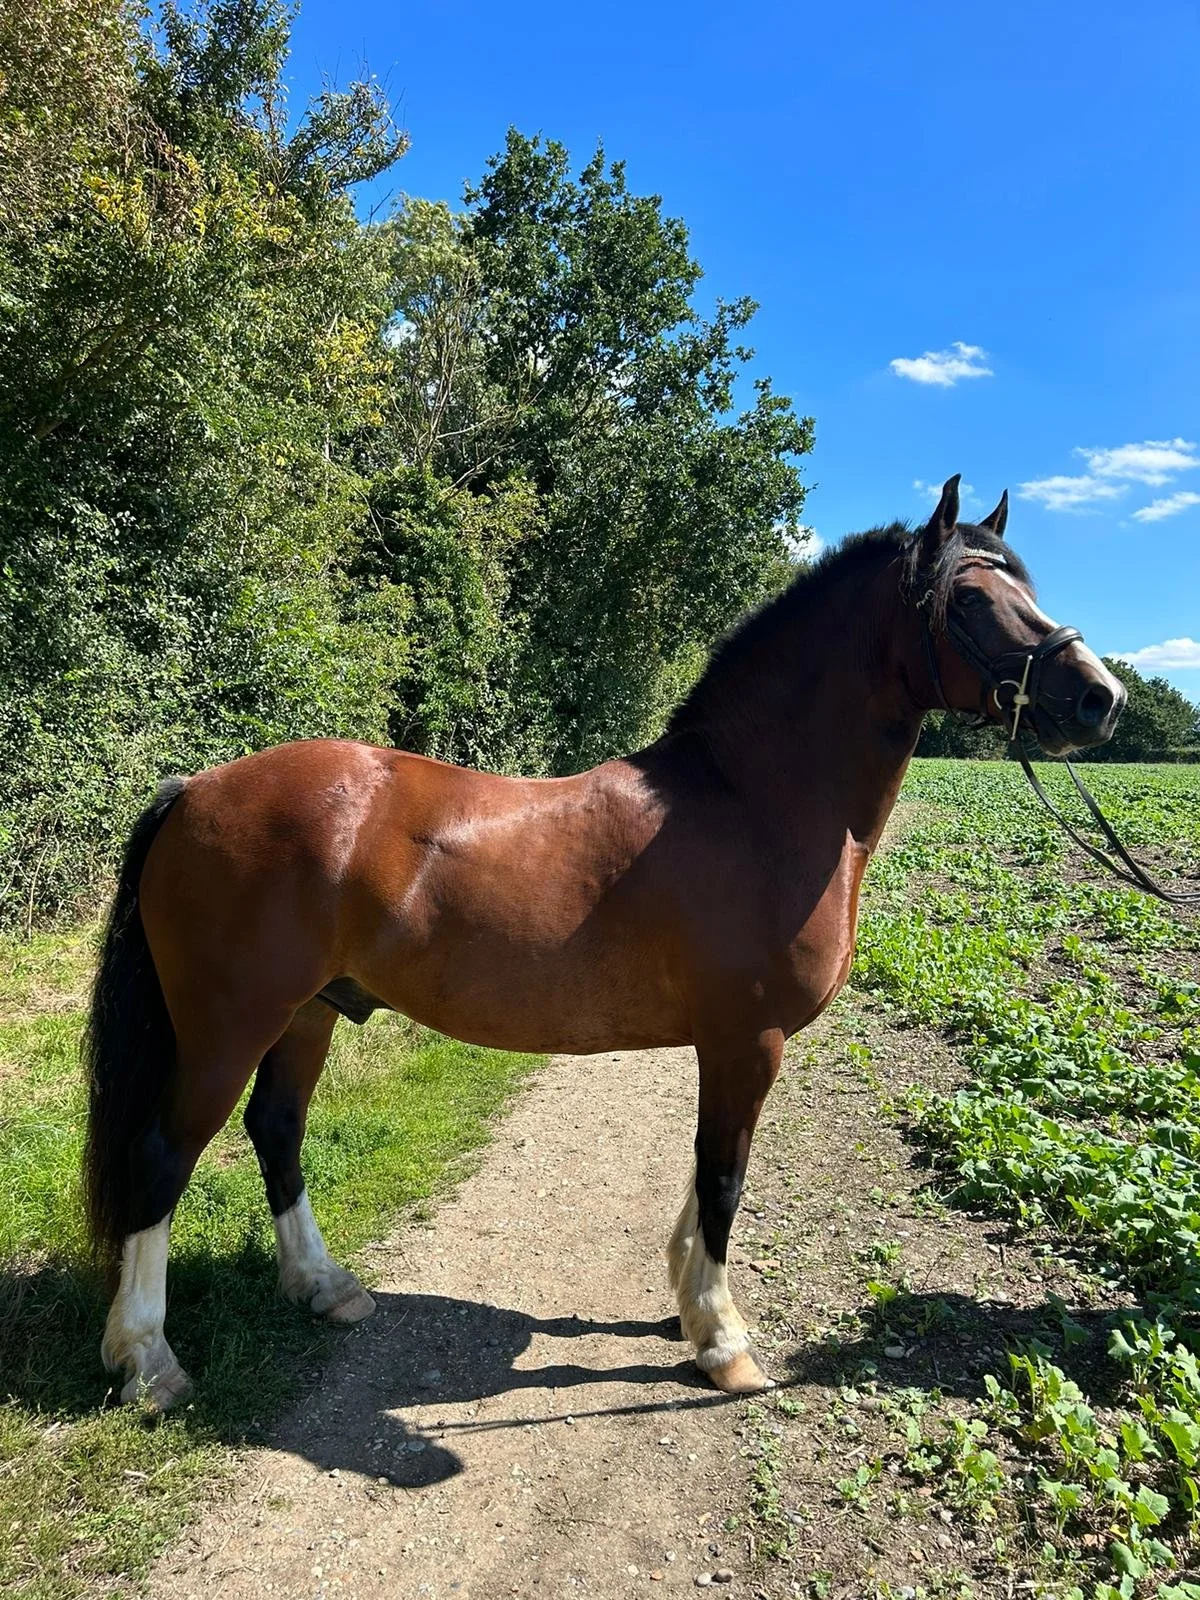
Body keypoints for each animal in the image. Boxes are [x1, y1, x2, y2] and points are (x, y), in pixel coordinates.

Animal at [83, 475, 1125, 1410]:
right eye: (972, 599)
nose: (1100, 700)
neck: (752, 803)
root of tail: (195, 788)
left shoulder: (729, 1045)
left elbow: (707, 1177)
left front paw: (689, 1308)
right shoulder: (747, 1041)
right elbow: (723, 1177)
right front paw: (723, 1344)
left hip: (309, 1014)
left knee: (276, 1130)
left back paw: (325, 1289)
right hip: (230, 1026)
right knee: (161, 1158)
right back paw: (148, 1364)